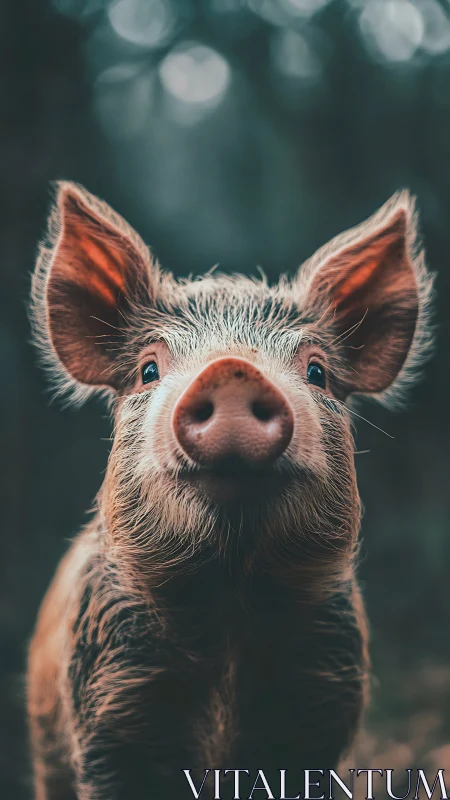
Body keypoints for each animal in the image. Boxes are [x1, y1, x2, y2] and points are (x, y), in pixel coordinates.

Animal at [27, 182, 433, 800]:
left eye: (317, 372)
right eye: (148, 370)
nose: (233, 370)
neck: (229, 604)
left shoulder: (322, 702)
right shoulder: (107, 706)